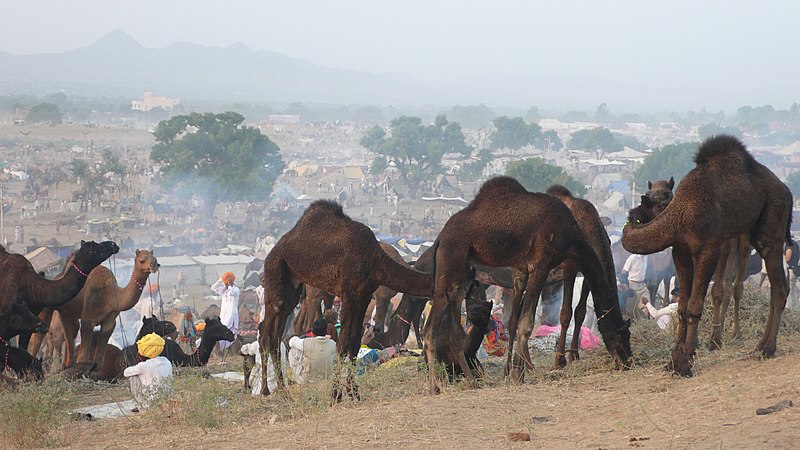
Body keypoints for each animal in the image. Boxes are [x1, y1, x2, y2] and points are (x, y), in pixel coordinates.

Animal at [28, 248, 159, 370]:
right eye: (142, 260)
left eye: (154, 258)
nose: (155, 265)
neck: (112, 295)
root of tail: (58, 276)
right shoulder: (88, 319)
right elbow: (83, 357)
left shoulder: (109, 322)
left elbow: (100, 359)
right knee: (39, 337)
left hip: (68, 313)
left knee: (69, 334)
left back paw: (65, 366)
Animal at [260, 200, 434, 398]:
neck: (376, 259)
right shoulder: (350, 293)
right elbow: (343, 344)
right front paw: (335, 395)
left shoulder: (363, 296)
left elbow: (354, 343)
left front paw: (353, 392)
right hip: (275, 274)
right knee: (267, 334)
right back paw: (266, 390)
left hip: (293, 286)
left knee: (277, 334)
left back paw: (282, 389)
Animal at [424, 176, 632, 386]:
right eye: (622, 333)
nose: (627, 361)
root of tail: (440, 238)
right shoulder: (545, 264)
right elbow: (531, 321)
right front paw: (522, 372)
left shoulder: (524, 269)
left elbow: (516, 320)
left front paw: (513, 371)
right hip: (451, 261)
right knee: (430, 328)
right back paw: (436, 386)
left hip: (463, 274)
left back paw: (465, 381)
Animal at [620, 135, 792, 378]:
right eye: (652, 195)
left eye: (665, 197)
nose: (634, 212)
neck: (682, 212)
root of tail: (786, 190)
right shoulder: (680, 251)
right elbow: (682, 306)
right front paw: (673, 361)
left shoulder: (709, 249)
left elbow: (695, 304)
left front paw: (685, 364)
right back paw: (759, 347)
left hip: (771, 229)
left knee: (777, 286)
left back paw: (765, 348)